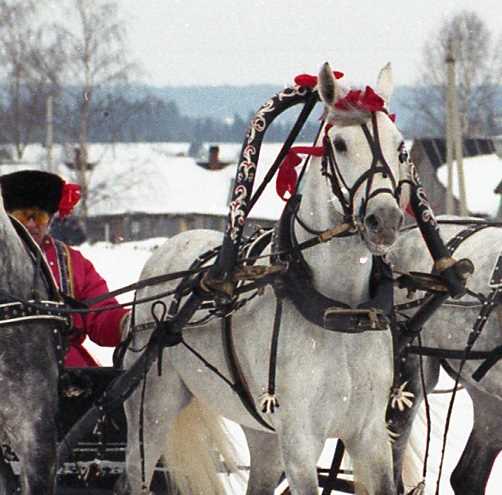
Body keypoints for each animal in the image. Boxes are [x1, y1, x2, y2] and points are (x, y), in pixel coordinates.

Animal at [118, 63, 408, 495]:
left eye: (400, 146)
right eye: (339, 144)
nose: (385, 220)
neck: (339, 309)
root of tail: (171, 246)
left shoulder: (369, 434)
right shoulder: (300, 440)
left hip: (262, 431)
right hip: (151, 411)